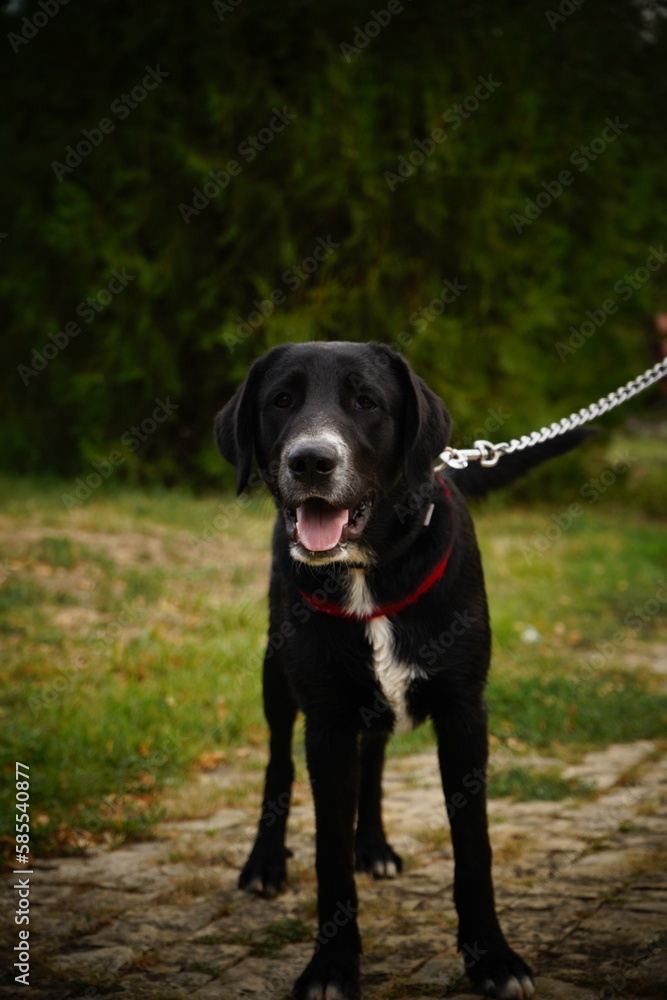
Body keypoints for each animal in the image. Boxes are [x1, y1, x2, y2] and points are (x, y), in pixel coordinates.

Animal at [217, 342, 588, 1000]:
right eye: (281, 400)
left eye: (367, 401)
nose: (310, 461)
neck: (369, 572)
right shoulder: (327, 721)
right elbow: (329, 856)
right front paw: (331, 966)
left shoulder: (465, 712)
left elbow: (474, 846)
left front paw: (492, 958)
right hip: (275, 674)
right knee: (278, 762)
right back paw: (264, 861)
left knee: (375, 758)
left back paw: (374, 845)